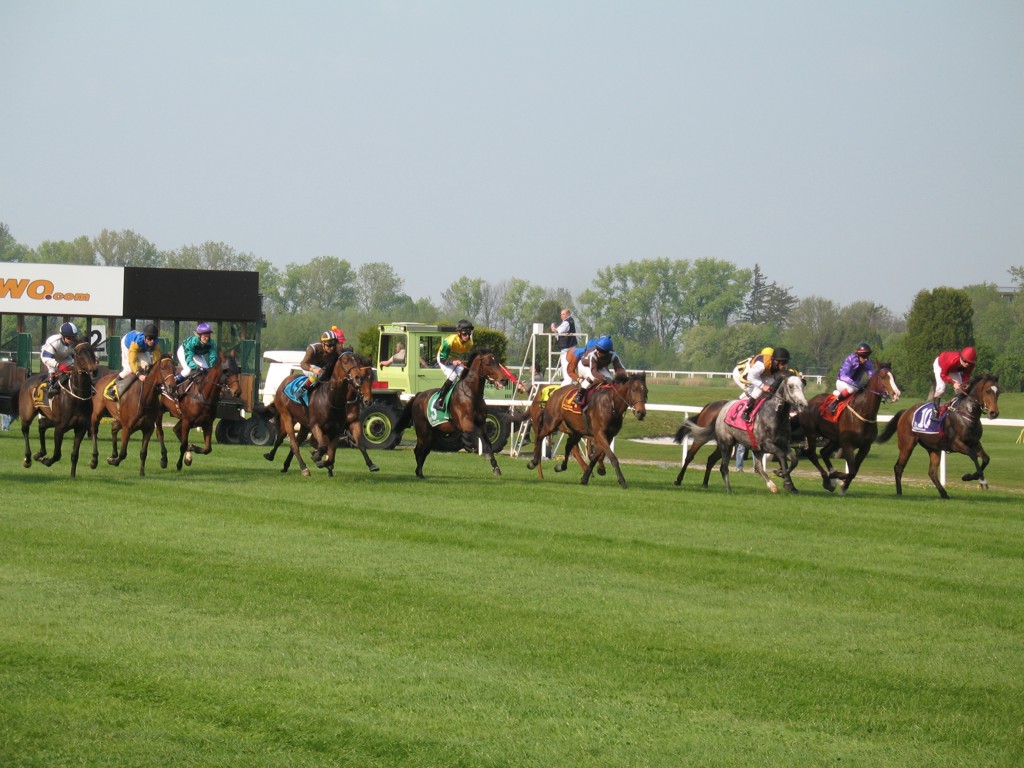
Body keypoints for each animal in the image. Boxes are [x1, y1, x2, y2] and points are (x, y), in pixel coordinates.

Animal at [17, 330, 102, 477]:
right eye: (78, 353)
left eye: (92, 350)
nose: (93, 370)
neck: (77, 395)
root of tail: (28, 379)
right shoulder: (60, 427)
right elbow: (57, 454)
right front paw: (46, 461)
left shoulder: (80, 428)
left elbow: (74, 454)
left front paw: (72, 475)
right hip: (27, 413)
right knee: (26, 430)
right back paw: (28, 458)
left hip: (51, 418)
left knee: (42, 426)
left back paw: (40, 453)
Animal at [394, 347, 509, 478]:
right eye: (488, 363)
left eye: (498, 362)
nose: (504, 380)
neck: (471, 394)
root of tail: (418, 395)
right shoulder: (466, 425)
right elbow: (479, 435)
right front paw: (486, 455)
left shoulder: (481, 424)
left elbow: (488, 442)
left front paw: (495, 467)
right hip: (423, 431)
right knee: (418, 450)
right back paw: (419, 473)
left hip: (433, 434)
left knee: (424, 451)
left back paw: (420, 472)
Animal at [674, 372, 808, 493]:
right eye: (791, 386)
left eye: (802, 385)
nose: (803, 405)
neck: (775, 416)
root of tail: (719, 408)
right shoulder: (767, 444)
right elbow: (781, 455)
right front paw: (785, 479)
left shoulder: (783, 444)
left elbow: (794, 460)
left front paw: (787, 480)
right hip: (721, 442)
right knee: (698, 458)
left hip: (730, 444)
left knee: (715, 460)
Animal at [796, 364, 901, 495]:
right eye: (883, 376)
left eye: (894, 376)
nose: (896, 394)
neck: (863, 412)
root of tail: (808, 402)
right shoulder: (847, 444)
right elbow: (851, 471)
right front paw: (836, 478)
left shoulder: (865, 446)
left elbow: (854, 471)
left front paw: (843, 485)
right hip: (811, 434)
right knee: (812, 455)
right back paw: (827, 479)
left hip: (834, 439)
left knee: (824, 452)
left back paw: (830, 478)